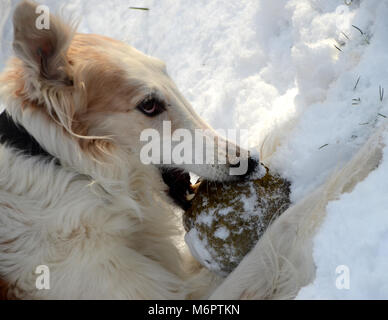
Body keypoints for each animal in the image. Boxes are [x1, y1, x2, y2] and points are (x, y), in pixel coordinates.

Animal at [0, 0, 384, 300]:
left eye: (171, 81)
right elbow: (286, 225)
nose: (249, 163)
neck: (69, 169)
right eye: (149, 105)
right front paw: (370, 149)